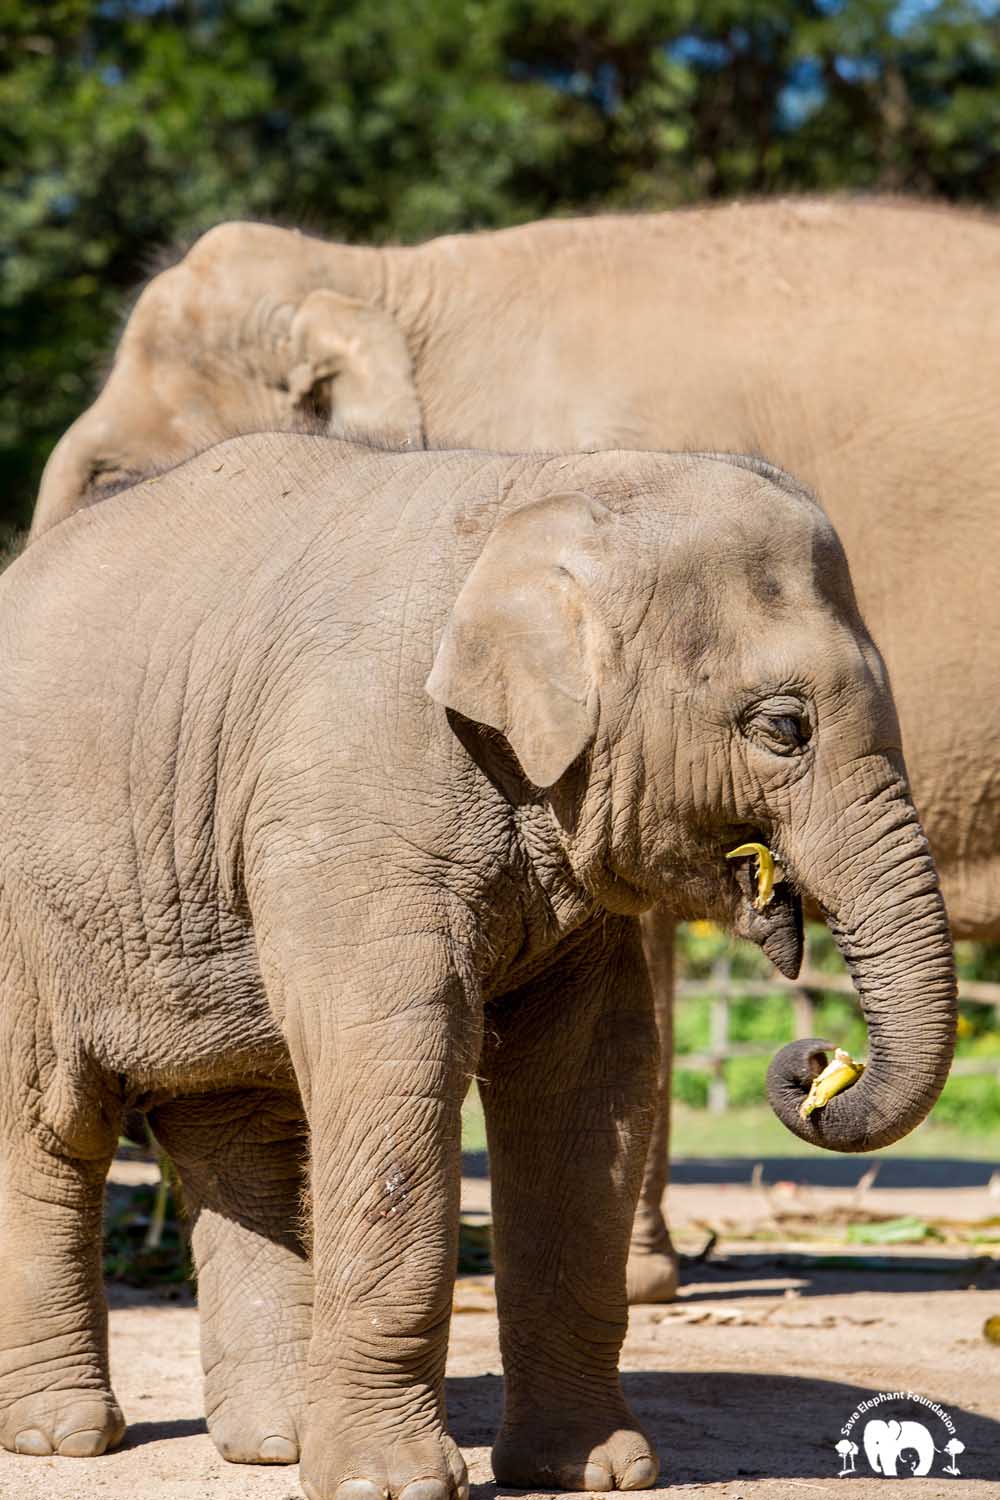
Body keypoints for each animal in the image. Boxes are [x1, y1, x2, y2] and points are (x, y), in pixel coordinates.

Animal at [0, 433, 957, 1495]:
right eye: (783, 728)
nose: (816, 1065)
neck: (538, 493)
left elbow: (589, 1081)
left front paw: (594, 1473)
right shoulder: (351, 795)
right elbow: (398, 1059)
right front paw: (394, 1486)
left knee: (238, 1138)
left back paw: (274, 1443)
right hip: (29, 919)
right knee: (49, 1128)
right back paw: (65, 1438)